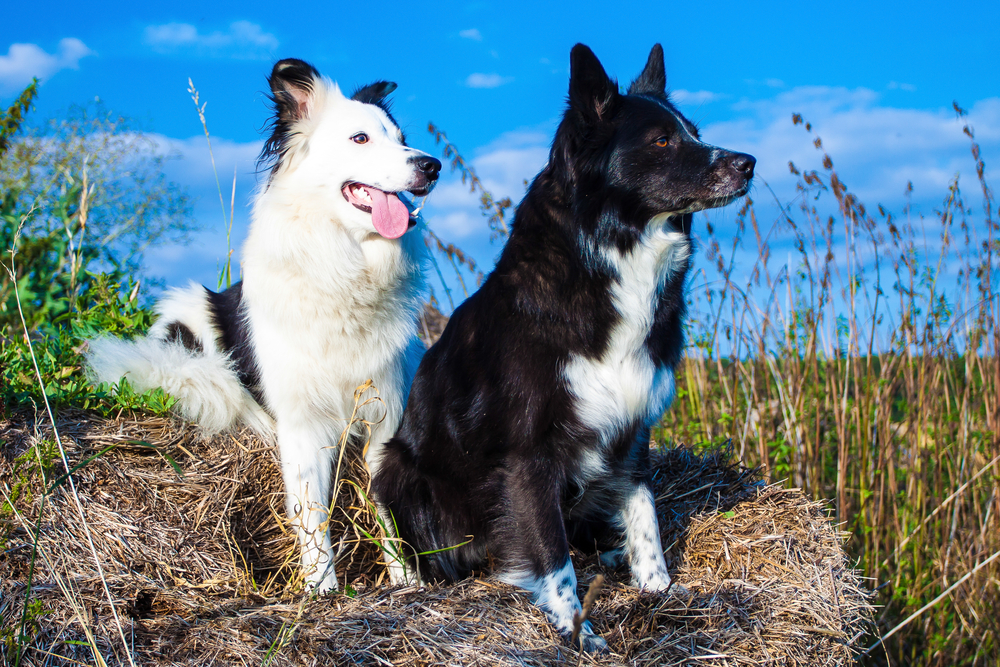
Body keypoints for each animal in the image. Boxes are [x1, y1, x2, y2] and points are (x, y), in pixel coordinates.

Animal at [88, 57, 440, 588]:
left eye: (402, 137)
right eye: (360, 138)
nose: (432, 166)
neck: (343, 269)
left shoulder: (384, 411)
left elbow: (387, 505)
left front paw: (405, 580)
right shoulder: (302, 423)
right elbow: (312, 512)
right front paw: (322, 590)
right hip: (188, 313)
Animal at [374, 43, 752, 652]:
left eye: (694, 132)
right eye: (662, 141)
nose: (749, 163)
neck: (612, 258)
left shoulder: (632, 426)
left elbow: (644, 513)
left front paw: (658, 590)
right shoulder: (529, 452)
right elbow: (552, 556)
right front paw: (578, 632)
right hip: (400, 474)